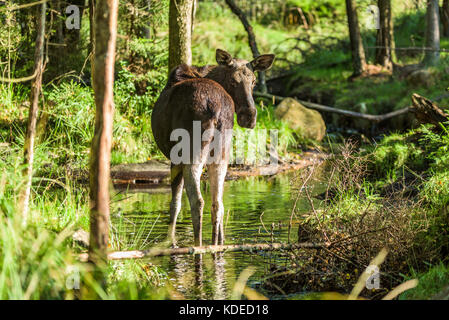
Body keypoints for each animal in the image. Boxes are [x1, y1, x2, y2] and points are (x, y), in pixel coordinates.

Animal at [152, 48, 274, 246]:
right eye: (233, 80)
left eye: (254, 81)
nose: (249, 115)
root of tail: (215, 108)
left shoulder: (174, 158)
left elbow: (175, 204)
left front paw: (170, 241)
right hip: (222, 154)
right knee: (218, 203)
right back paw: (216, 245)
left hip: (191, 151)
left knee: (198, 200)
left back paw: (198, 246)